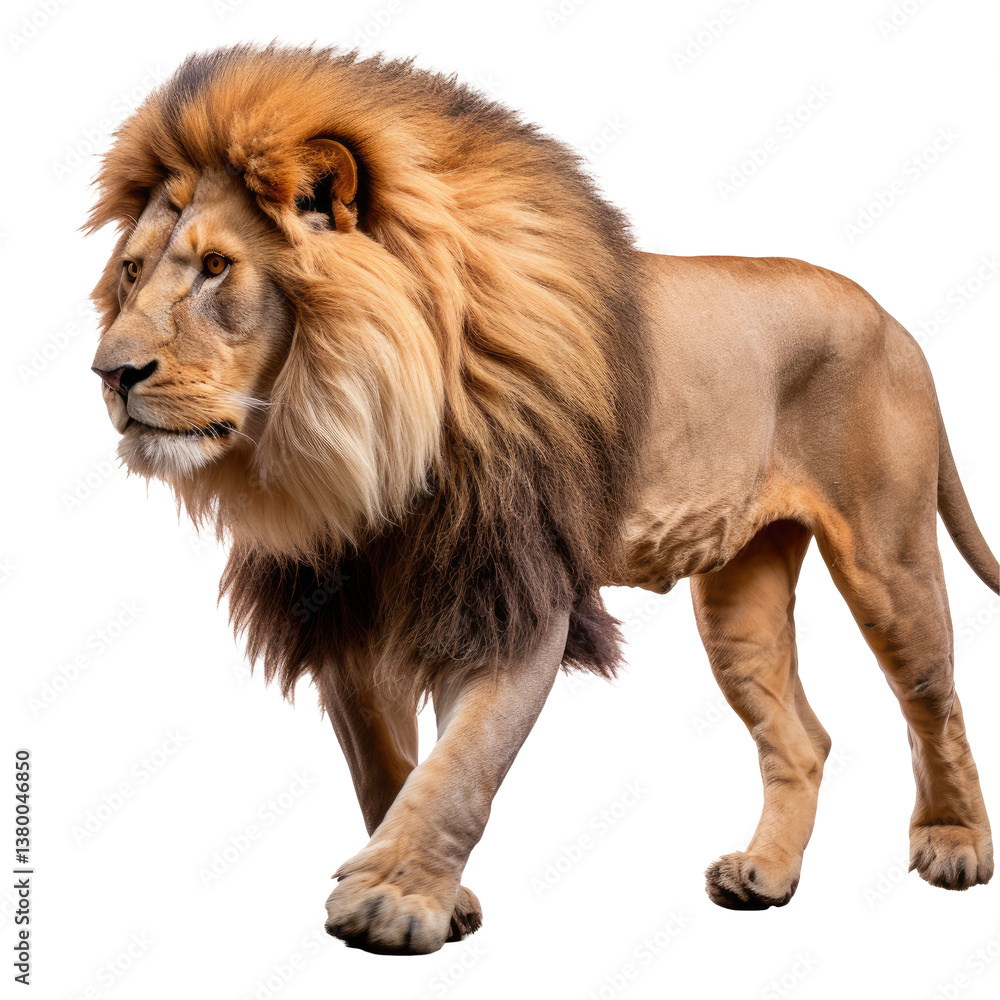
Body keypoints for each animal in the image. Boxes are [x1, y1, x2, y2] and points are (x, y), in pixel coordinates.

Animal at [88, 44, 998, 954]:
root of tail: (894, 321)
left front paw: (392, 901)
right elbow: (388, 769)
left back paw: (954, 846)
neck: (359, 443)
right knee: (803, 737)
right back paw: (764, 875)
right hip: (740, 596)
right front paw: (435, 896)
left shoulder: (516, 586)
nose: (110, 373)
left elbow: (462, 764)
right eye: (132, 272)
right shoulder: (346, 610)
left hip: (888, 557)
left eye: (216, 268)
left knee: (936, 700)